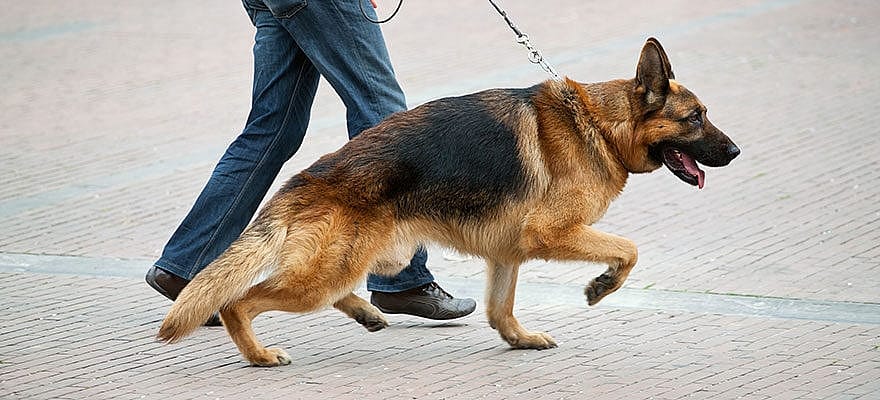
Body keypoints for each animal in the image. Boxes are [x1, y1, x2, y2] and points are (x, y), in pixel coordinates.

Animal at [156, 37, 736, 366]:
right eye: (695, 118)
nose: (735, 151)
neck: (597, 123)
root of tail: (307, 177)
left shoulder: (507, 253)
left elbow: (501, 309)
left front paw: (518, 339)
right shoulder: (552, 234)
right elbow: (630, 249)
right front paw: (602, 286)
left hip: (362, 260)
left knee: (332, 290)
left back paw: (366, 312)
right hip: (325, 274)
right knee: (238, 302)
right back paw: (259, 354)